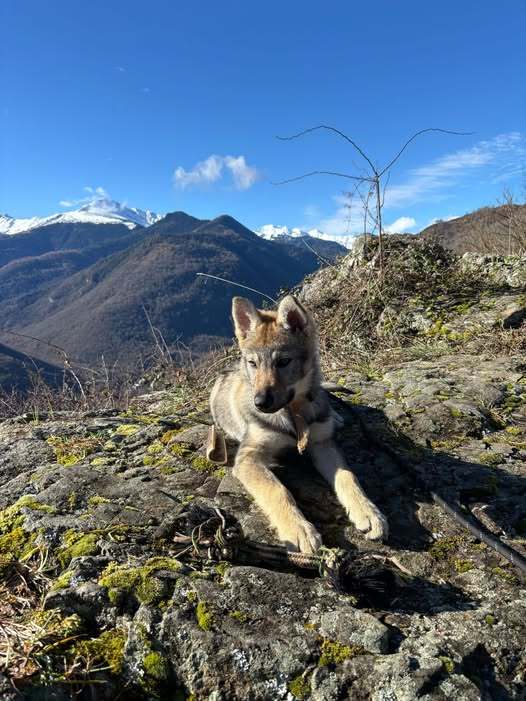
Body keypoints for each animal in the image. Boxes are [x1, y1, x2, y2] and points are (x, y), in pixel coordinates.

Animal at [209, 294, 388, 553]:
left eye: (283, 362)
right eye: (253, 363)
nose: (260, 403)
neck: (293, 412)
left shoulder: (323, 444)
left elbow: (348, 477)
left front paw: (368, 511)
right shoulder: (248, 458)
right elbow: (277, 490)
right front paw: (298, 529)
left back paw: (335, 416)